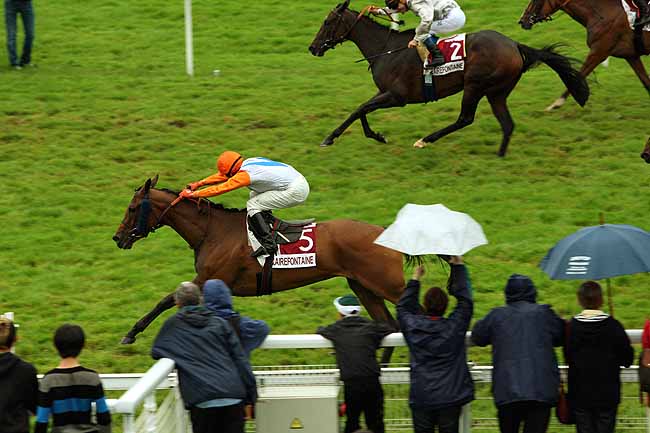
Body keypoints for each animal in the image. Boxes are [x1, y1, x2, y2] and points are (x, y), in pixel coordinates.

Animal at [114, 177, 402, 352]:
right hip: (362, 286)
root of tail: (384, 232)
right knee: (389, 326)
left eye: (132, 208)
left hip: (387, 285)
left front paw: (131, 332)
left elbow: (166, 300)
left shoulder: (208, 279)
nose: (117, 238)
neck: (213, 231)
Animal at [308, 0, 588, 155]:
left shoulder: (397, 96)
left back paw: (425, 140)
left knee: (465, 118)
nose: (312, 48)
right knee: (507, 124)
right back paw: (500, 155)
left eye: (327, 22)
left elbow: (360, 109)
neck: (385, 49)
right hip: (497, 92)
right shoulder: (384, 92)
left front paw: (330, 138)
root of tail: (515, 45)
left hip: (475, 85)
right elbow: (362, 110)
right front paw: (376, 135)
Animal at [520, 0, 648, 110]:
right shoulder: (631, 55)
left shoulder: (599, 51)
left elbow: (578, 76)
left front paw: (556, 104)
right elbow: (646, 82)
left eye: (536, 0)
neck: (602, 13)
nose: (522, 20)